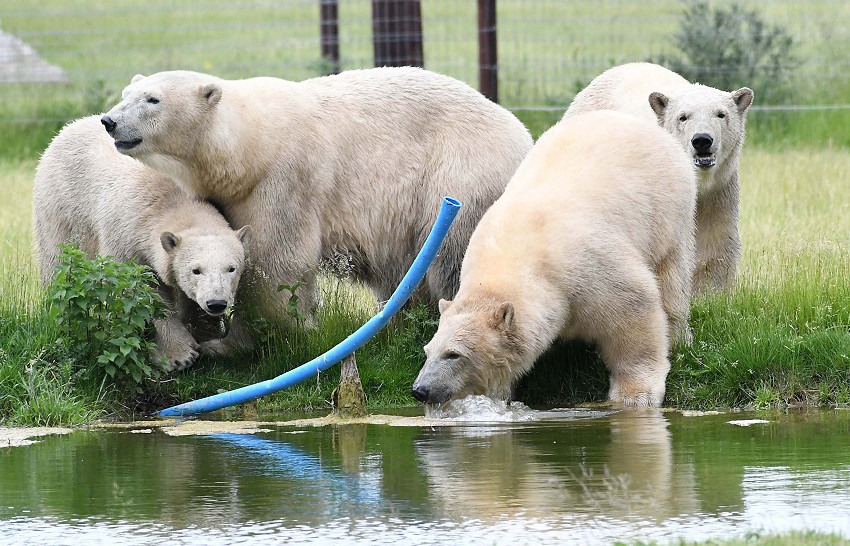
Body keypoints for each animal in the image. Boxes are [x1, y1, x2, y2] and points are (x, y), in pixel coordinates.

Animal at [410, 110, 696, 406]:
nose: (420, 390)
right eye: (428, 351)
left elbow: (634, 306)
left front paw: (636, 394)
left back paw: (679, 335)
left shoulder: (589, 267)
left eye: (453, 354)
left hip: (668, 210)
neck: (515, 258)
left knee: (672, 277)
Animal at [564, 62, 748, 294]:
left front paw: (709, 294)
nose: (702, 140)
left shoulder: (719, 189)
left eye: (721, 114)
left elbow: (714, 240)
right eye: (683, 117)